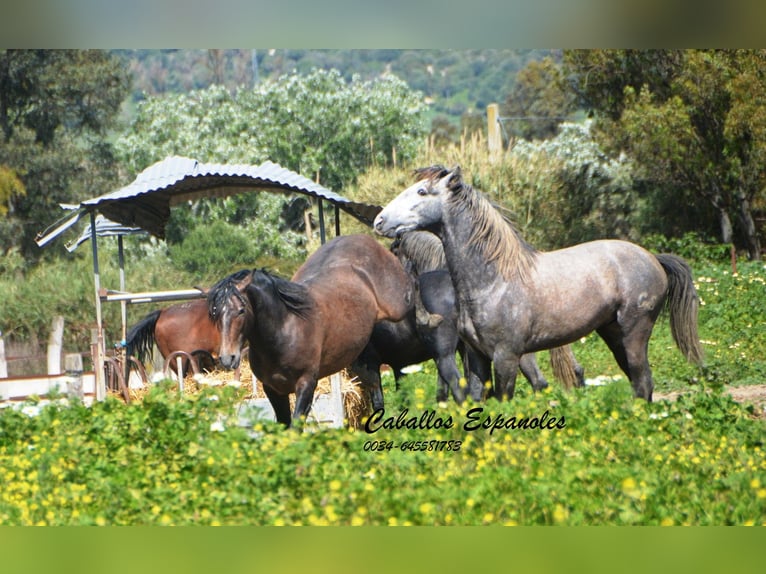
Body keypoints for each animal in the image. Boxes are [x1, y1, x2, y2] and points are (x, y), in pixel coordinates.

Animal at [207, 234, 413, 427]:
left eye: (241, 310)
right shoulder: (273, 389)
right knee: (375, 384)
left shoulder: (306, 384)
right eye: (215, 312)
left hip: (399, 307)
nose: (227, 358)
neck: (285, 330)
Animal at [374, 165, 703, 402]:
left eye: (421, 191)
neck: (493, 281)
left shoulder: (506, 358)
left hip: (635, 332)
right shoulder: (477, 357)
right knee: (639, 383)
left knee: (642, 382)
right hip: (613, 334)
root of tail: (653, 259)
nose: (379, 221)